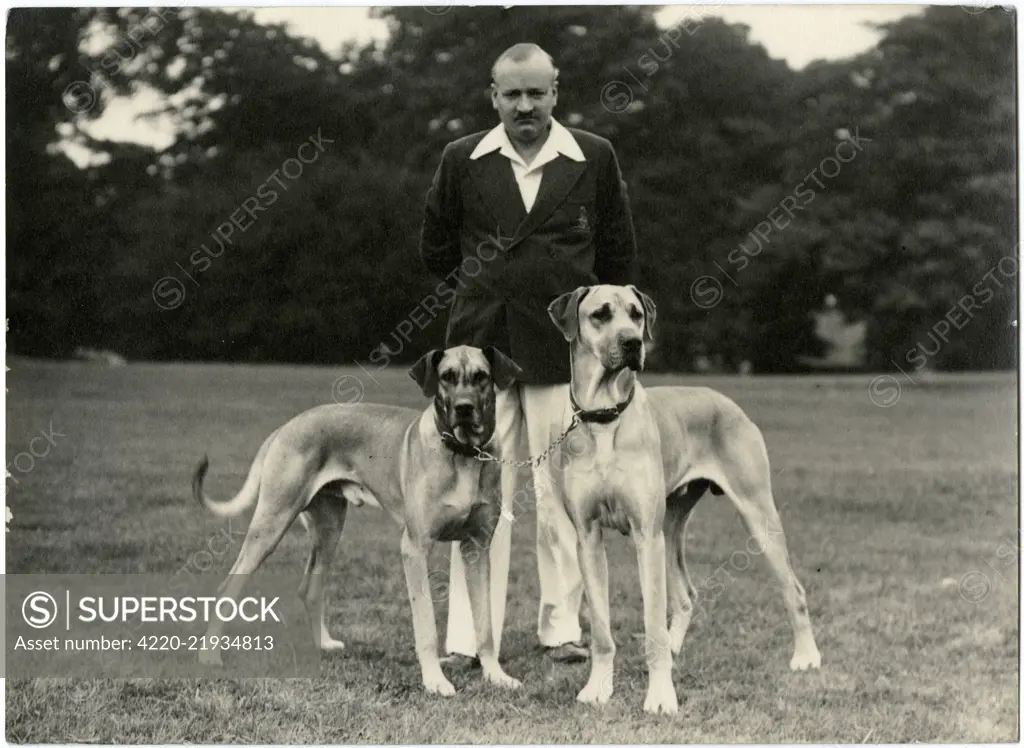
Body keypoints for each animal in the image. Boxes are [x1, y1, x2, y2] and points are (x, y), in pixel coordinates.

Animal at [192, 344, 524, 692]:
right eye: (446, 376)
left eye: (481, 377)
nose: (464, 409)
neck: (464, 454)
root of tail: (288, 426)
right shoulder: (415, 549)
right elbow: (426, 627)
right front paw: (434, 680)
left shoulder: (477, 548)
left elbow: (485, 624)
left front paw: (495, 674)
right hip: (272, 522)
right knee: (227, 586)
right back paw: (209, 654)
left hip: (328, 528)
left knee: (310, 587)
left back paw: (322, 644)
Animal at [548, 284, 819, 709]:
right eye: (600, 314)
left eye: (636, 314)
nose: (633, 342)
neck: (605, 416)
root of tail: (725, 400)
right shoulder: (588, 538)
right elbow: (603, 632)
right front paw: (598, 688)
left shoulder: (645, 536)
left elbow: (652, 627)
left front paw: (660, 696)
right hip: (671, 527)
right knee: (686, 595)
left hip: (756, 514)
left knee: (794, 589)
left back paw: (806, 656)